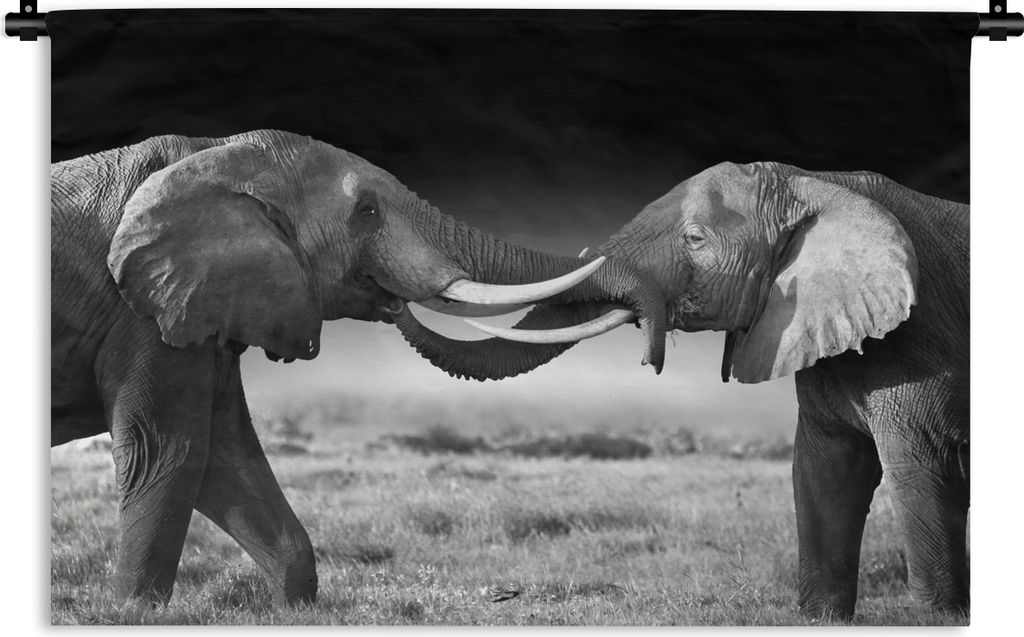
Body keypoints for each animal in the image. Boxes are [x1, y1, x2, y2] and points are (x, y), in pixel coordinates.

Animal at [51, 129, 666, 606]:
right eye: (367, 212)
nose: (651, 357)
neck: (212, 152)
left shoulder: (207, 303)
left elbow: (226, 457)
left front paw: (294, 610)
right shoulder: (140, 310)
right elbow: (166, 452)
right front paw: (135, 614)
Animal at [464, 162, 969, 618]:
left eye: (694, 239)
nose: (650, 358)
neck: (817, 182)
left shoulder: (921, 342)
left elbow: (917, 469)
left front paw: (939, 620)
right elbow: (823, 472)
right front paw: (821, 619)